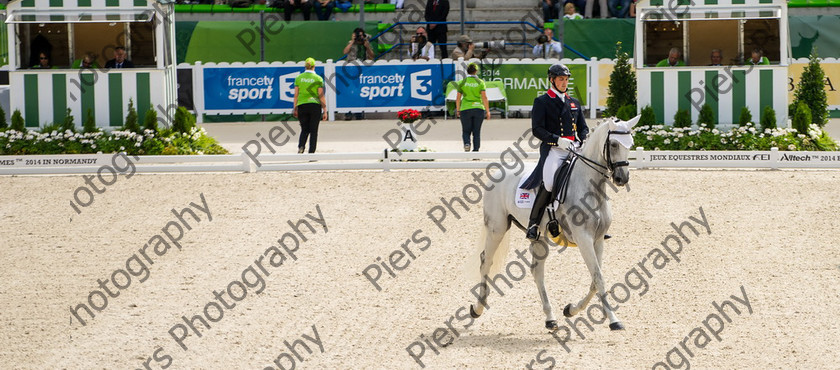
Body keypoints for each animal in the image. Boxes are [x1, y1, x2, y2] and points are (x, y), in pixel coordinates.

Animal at [470, 115, 640, 330]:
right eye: (614, 144)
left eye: (631, 144)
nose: (622, 178)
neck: (590, 187)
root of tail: (499, 171)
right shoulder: (584, 238)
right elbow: (599, 278)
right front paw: (614, 320)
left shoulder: (598, 239)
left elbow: (595, 280)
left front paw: (571, 309)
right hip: (497, 228)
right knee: (486, 261)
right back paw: (477, 308)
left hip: (539, 237)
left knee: (537, 271)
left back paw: (550, 318)